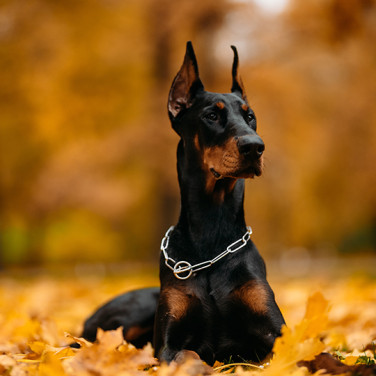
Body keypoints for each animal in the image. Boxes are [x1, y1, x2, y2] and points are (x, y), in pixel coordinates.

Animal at [79, 42, 284, 366]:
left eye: (250, 116)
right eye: (211, 115)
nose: (255, 146)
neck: (213, 233)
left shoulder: (277, 333)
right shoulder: (169, 343)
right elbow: (188, 355)